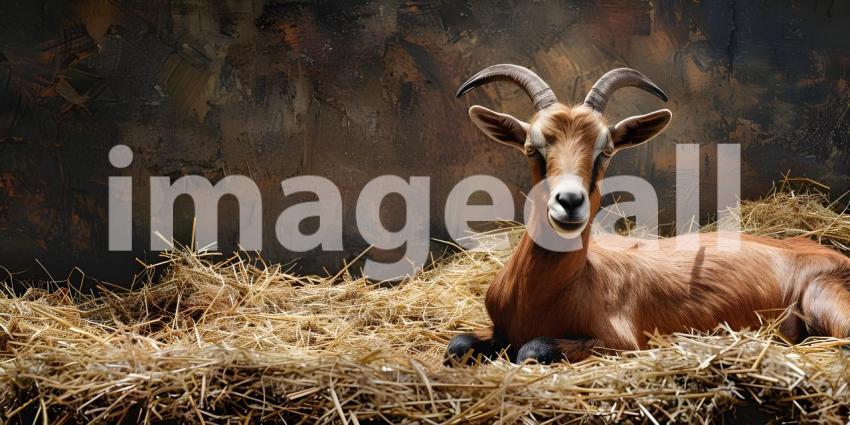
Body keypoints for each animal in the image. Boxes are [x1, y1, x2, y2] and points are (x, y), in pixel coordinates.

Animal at [446, 64, 850, 365]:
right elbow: (457, 345)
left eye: (606, 150)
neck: (542, 293)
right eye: (533, 147)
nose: (570, 201)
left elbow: (532, 349)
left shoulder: (620, 343)